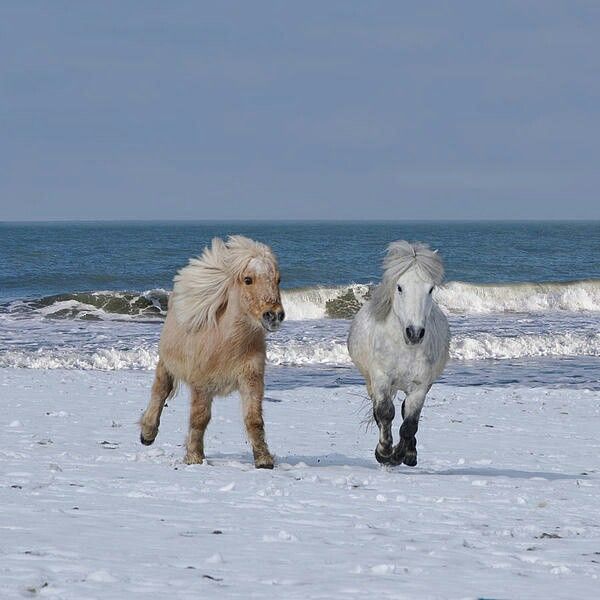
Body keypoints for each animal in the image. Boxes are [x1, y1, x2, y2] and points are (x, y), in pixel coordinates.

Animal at [139, 234, 284, 468]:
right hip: (166, 365)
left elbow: (254, 420)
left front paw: (263, 459)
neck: (227, 345)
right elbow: (199, 419)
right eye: (248, 279)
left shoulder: (251, 380)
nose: (274, 316)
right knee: (160, 392)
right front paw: (194, 457)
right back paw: (147, 434)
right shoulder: (202, 385)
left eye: (278, 280)